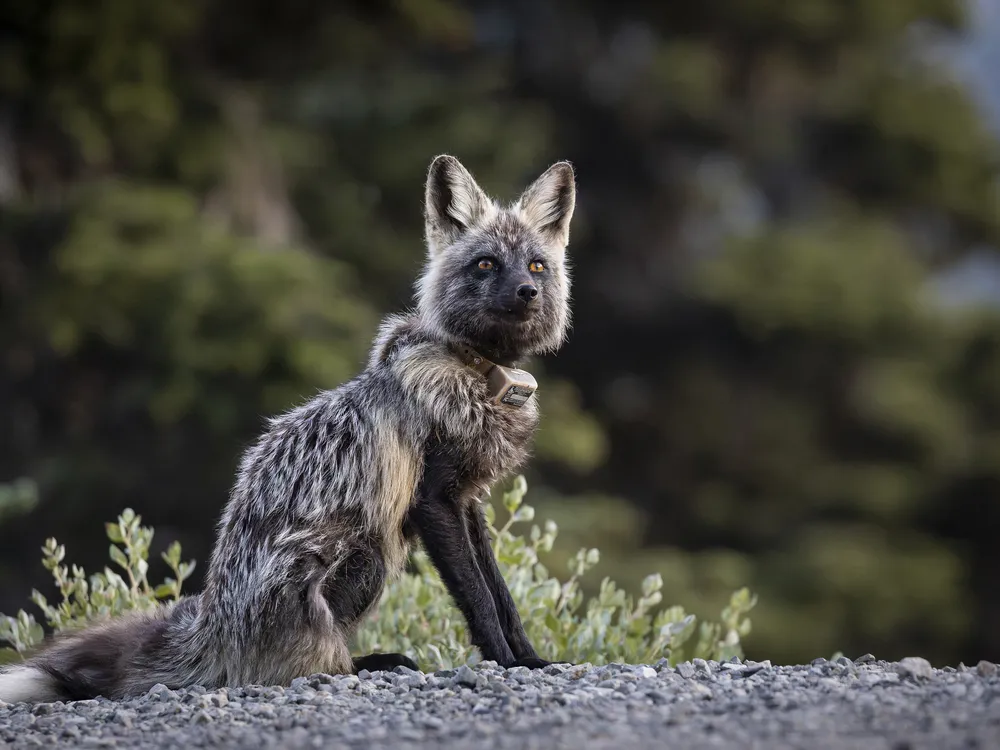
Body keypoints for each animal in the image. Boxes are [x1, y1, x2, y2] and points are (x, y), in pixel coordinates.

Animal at [0, 154, 577, 703]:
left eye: (535, 265)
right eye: (486, 264)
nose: (526, 291)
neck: (475, 373)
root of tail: (211, 625)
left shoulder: (468, 500)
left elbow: (502, 594)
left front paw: (532, 658)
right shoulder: (433, 500)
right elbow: (480, 599)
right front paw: (505, 662)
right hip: (370, 551)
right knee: (299, 667)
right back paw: (366, 665)